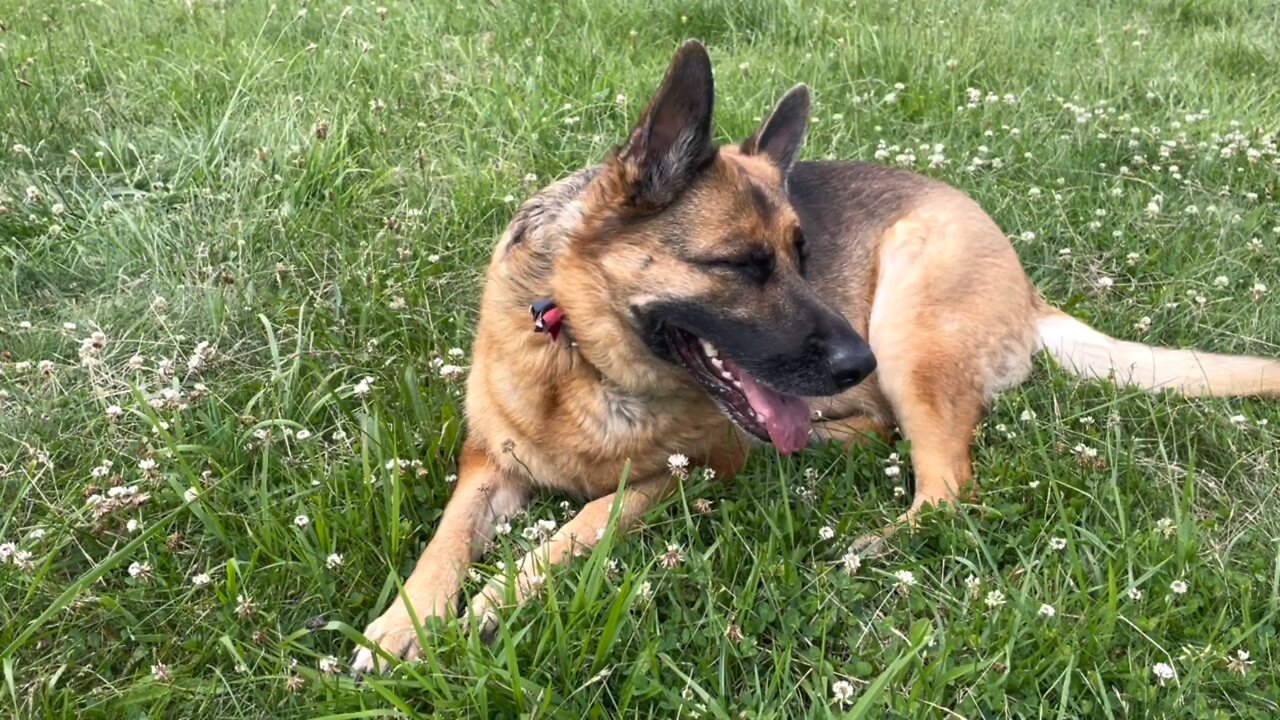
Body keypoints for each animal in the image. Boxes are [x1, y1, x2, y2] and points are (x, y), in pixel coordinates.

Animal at [348, 41, 1280, 671]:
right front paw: (406, 622)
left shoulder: (687, 472)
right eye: (742, 266)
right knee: (877, 434)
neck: (582, 355)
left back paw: (875, 540)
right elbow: (445, 540)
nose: (853, 361)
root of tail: (1027, 287)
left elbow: (580, 525)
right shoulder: (487, 461)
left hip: (909, 320)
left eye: (802, 255)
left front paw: (493, 599)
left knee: (945, 485)